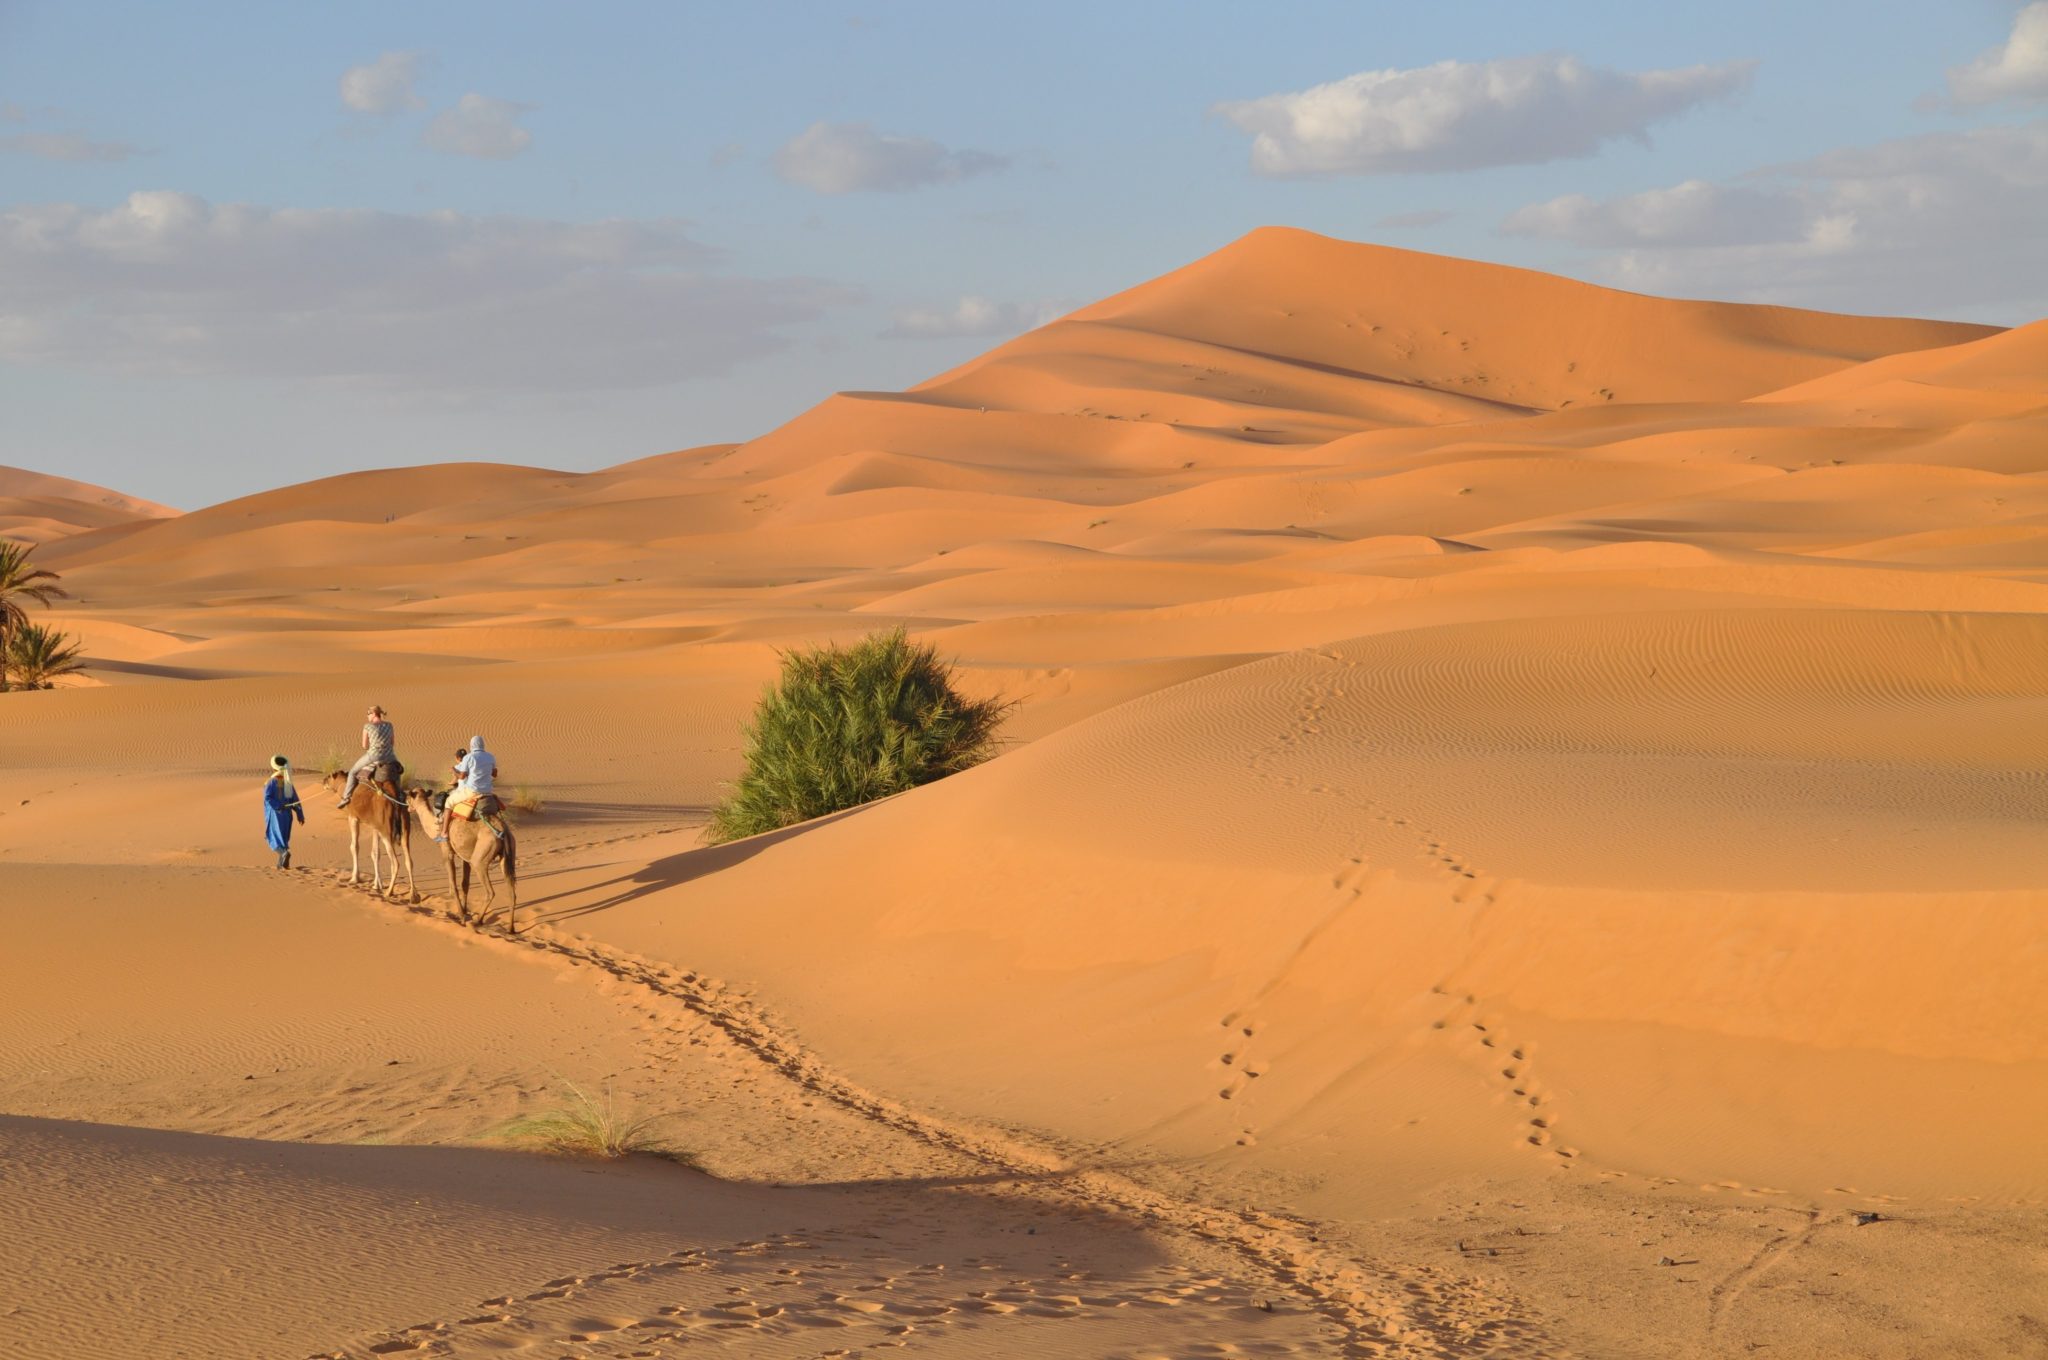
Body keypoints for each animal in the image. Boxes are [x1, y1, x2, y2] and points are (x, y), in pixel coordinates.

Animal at [317, 766, 413, 901]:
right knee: (409, 860)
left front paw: (354, 879)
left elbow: (354, 846)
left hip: (386, 832)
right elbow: (375, 853)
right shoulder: (375, 827)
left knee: (395, 862)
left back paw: (389, 892)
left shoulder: (353, 817)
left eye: (329, 776)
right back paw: (414, 896)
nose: (323, 782)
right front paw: (376, 885)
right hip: (404, 827)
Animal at [403, 786, 520, 933]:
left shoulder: (447, 851)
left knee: (490, 891)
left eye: (408, 797)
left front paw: (462, 917)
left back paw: (478, 921)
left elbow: (453, 885)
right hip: (508, 855)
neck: (435, 825)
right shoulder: (465, 856)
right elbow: (465, 884)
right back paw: (510, 928)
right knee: (512, 891)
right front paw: (465, 912)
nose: (407, 806)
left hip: (480, 860)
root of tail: (503, 830)